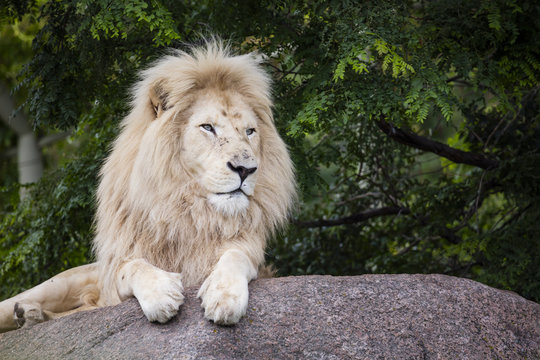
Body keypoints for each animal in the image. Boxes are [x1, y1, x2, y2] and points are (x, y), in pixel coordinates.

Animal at [0, 40, 296, 332]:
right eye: (208, 127)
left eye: (250, 132)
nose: (246, 169)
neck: (188, 209)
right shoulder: (115, 275)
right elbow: (132, 267)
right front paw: (162, 295)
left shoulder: (249, 252)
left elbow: (236, 257)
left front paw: (224, 297)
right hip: (58, 284)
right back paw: (26, 313)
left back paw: (31, 316)